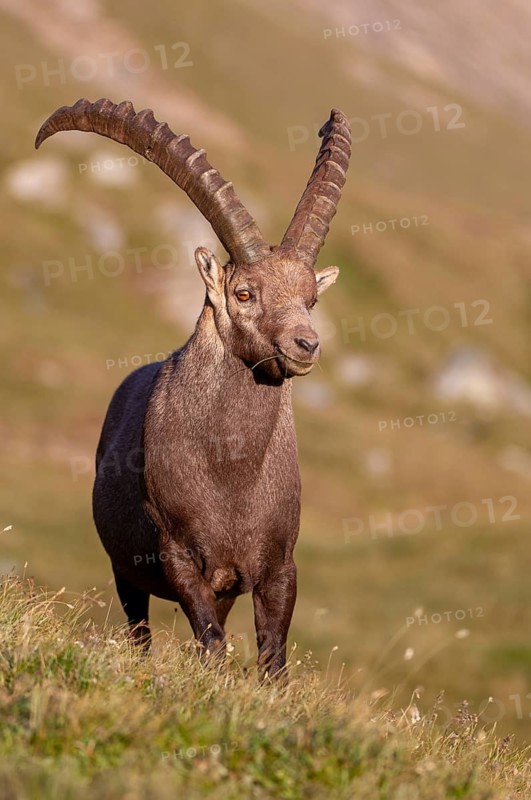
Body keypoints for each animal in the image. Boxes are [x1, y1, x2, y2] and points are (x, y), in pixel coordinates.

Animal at [35, 98, 351, 678]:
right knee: (139, 631)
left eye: (310, 299)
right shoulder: (179, 558)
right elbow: (212, 643)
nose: (306, 345)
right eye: (244, 293)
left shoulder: (278, 567)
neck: (231, 473)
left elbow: (272, 658)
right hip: (126, 571)